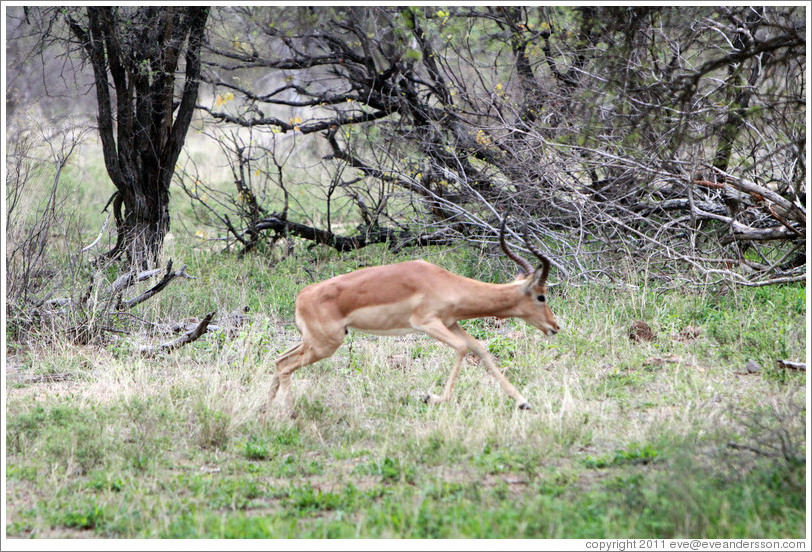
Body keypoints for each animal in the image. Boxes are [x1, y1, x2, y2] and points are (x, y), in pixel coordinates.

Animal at [268, 218, 559, 416]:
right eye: (541, 296)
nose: (554, 326)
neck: (446, 283)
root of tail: (302, 296)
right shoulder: (426, 324)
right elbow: (462, 348)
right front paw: (431, 397)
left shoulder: (451, 323)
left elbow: (479, 348)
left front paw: (523, 401)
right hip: (325, 345)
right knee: (285, 365)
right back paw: (290, 413)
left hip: (312, 342)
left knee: (279, 360)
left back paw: (264, 409)